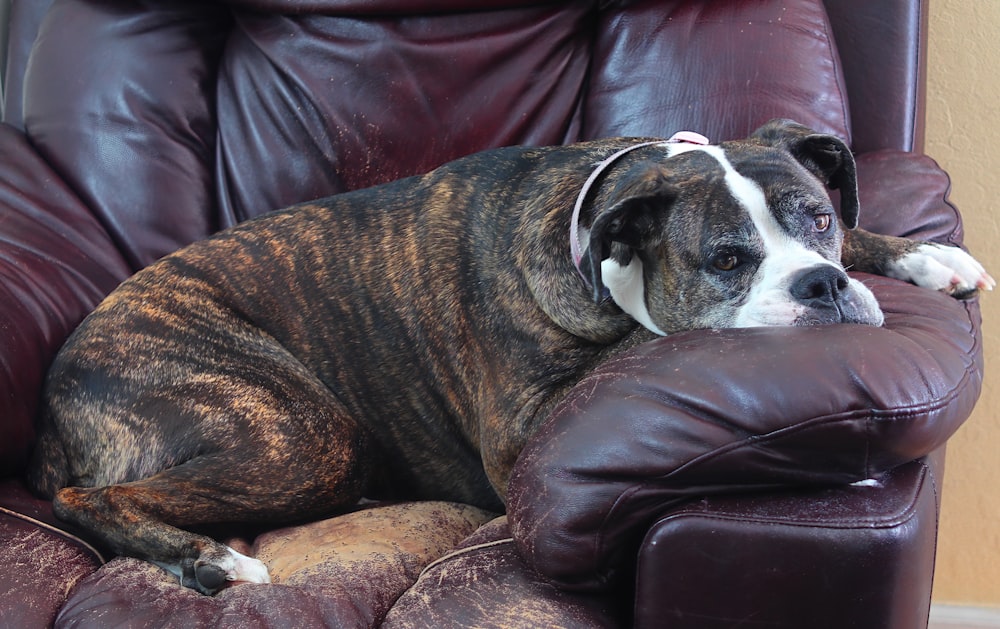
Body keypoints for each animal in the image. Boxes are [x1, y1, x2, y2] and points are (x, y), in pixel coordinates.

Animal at [25, 119, 992, 592]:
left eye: (820, 216)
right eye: (726, 260)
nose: (820, 286)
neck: (602, 231)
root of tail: (58, 389)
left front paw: (922, 256)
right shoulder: (522, 431)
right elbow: (653, 338)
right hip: (298, 433)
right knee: (93, 497)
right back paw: (209, 560)